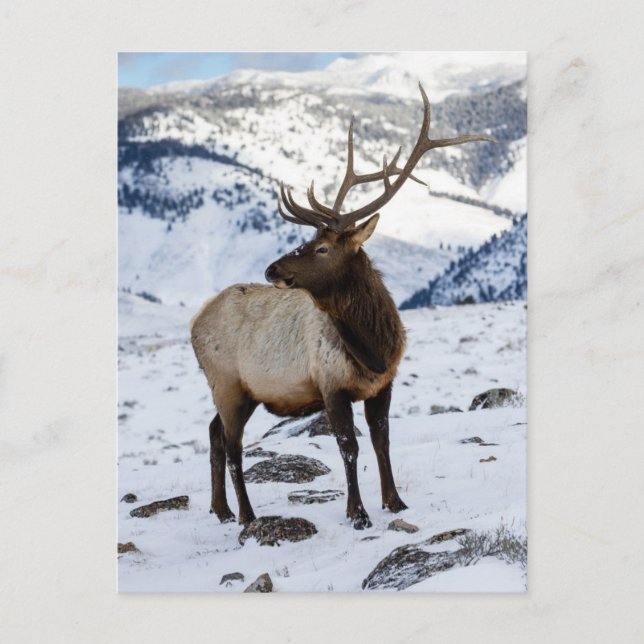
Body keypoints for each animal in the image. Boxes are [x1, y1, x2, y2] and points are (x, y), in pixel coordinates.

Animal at [190, 84, 493, 529]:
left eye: (321, 247)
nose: (271, 268)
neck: (373, 348)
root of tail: (194, 322)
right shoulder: (331, 385)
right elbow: (348, 446)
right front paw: (358, 513)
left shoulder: (383, 384)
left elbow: (382, 440)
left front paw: (394, 502)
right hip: (227, 384)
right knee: (232, 446)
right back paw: (247, 515)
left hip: (239, 392)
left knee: (214, 435)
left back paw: (222, 510)